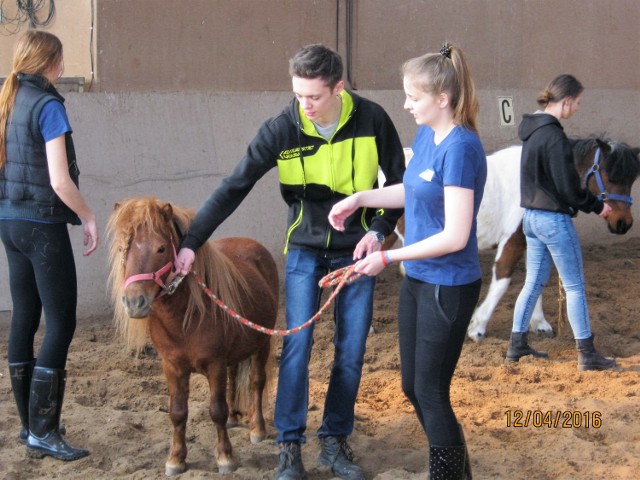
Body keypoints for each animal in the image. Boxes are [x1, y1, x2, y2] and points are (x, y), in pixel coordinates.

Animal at [107, 197, 278, 474]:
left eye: (161, 248)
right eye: (124, 248)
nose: (134, 302)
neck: (185, 319)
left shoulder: (215, 364)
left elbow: (216, 410)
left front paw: (225, 457)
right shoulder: (172, 367)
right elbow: (177, 412)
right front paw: (176, 459)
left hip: (262, 342)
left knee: (256, 382)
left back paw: (257, 429)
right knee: (234, 377)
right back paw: (234, 417)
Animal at [382, 136, 640, 342]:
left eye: (631, 180)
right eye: (609, 176)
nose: (623, 223)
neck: (537, 183)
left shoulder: (532, 242)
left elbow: (536, 279)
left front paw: (540, 324)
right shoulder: (513, 241)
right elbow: (503, 279)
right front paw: (476, 328)